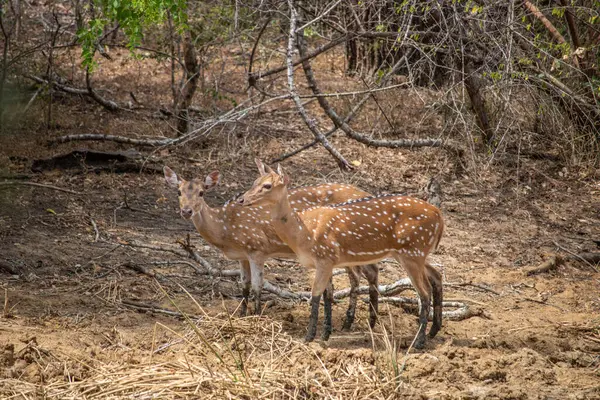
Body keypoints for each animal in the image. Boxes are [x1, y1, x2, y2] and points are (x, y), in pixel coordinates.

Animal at [164, 159, 380, 334]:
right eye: (178, 192)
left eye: (201, 192)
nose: (186, 211)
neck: (226, 230)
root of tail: (368, 192)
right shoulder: (242, 255)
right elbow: (244, 285)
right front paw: (242, 316)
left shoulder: (257, 248)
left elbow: (257, 286)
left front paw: (257, 318)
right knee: (360, 275)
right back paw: (353, 322)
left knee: (366, 272)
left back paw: (362, 322)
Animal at [239, 161, 446, 348]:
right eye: (254, 181)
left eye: (268, 185)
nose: (241, 200)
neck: (302, 232)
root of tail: (440, 216)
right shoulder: (328, 261)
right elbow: (328, 295)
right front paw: (325, 334)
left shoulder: (324, 257)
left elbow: (315, 295)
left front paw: (309, 337)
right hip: (415, 254)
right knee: (436, 275)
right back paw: (433, 330)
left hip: (412, 251)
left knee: (424, 292)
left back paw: (419, 341)